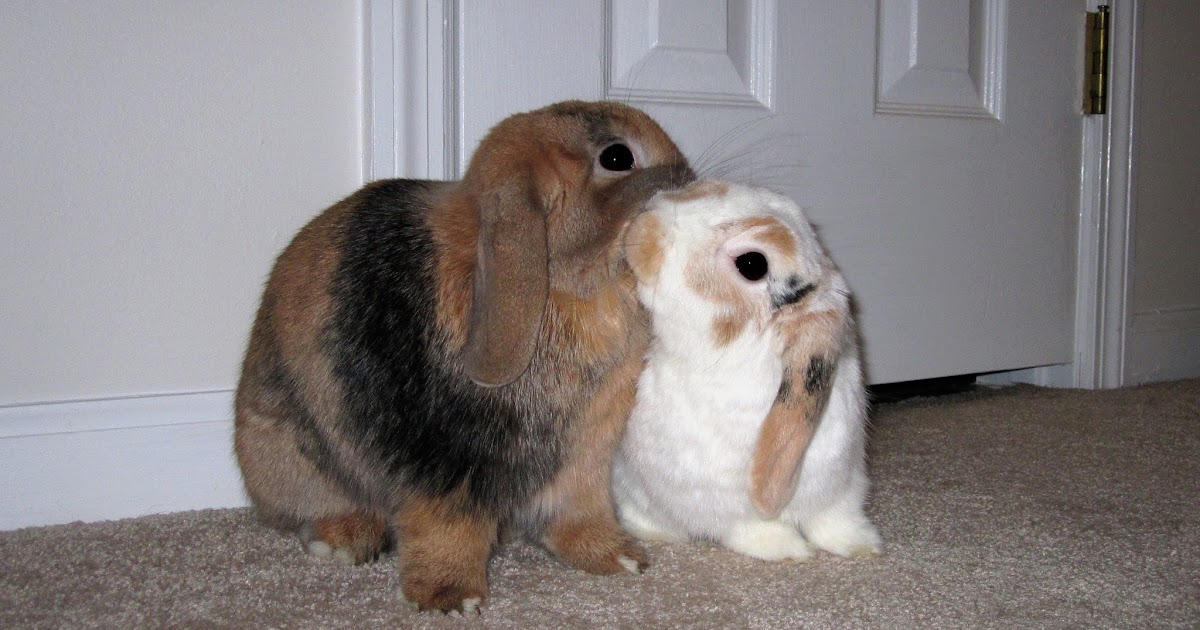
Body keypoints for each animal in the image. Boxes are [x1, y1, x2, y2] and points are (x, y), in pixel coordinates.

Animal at [234, 100, 695, 614]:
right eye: (617, 157)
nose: (689, 185)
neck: (575, 289)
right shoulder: (448, 466)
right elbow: (447, 528)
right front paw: (450, 598)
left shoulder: (584, 459)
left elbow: (577, 512)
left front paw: (617, 558)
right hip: (295, 457)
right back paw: (344, 540)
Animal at [613, 180, 882, 562]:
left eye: (752, 264)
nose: (645, 223)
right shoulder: (724, 507)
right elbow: (755, 529)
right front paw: (791, 550)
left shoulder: (843, 485)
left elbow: (836, 521)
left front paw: (863, 546)